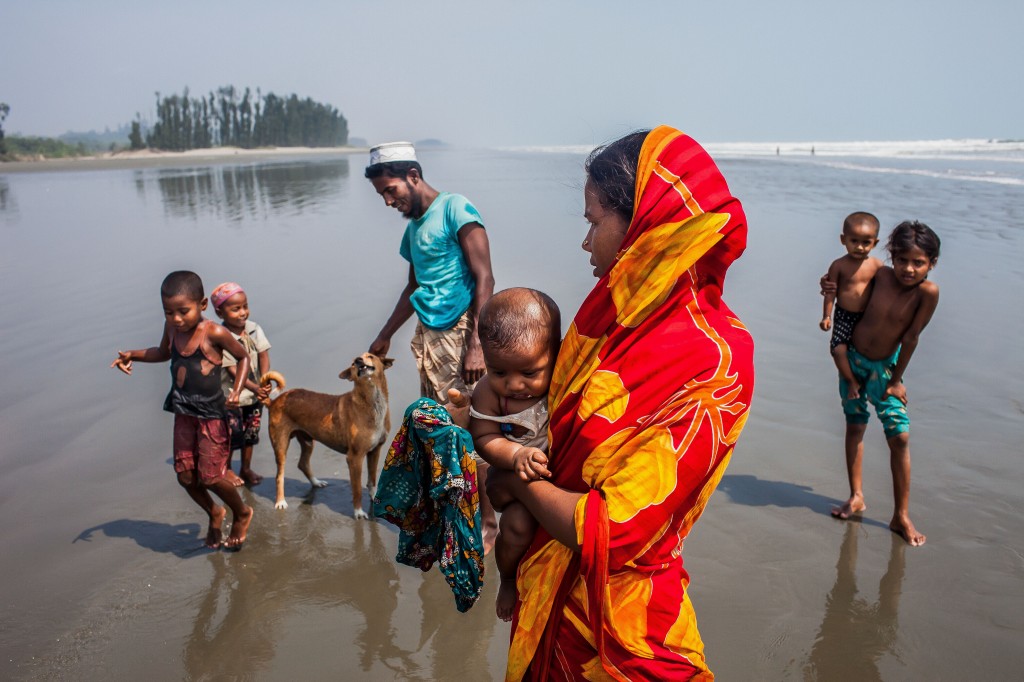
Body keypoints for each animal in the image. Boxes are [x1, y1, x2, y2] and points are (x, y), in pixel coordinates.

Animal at [262, 352, 393, 518]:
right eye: (353, 363)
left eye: (370, 356)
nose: (358, 360)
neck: (372, 402)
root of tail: (273, 402)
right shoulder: (354, 457)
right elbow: (357, 489)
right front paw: (358, 512)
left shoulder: (375, 451)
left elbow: (372, 480)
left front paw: (374, 498)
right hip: (281, 445)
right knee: (279, 476)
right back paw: (280, 501)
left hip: (307, 441)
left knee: (303, 463)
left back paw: (316, 482)